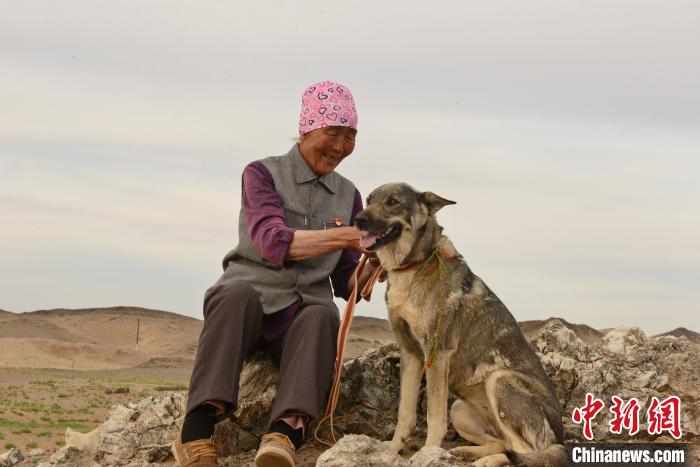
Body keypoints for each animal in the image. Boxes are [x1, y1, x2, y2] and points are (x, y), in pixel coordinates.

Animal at [356, 184, 568, 467]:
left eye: (392, 202)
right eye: (369, 200)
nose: (358, 220)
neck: (413, 266)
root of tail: (563, 439)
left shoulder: (437, 355)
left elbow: (434, 417)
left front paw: (428, 453)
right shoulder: (410, 353)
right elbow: (405, 414)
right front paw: (390, 449)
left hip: (499, 380)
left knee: (524, 450)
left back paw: (485, 461)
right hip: (459, 408)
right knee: (502, 443)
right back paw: (467, 453)